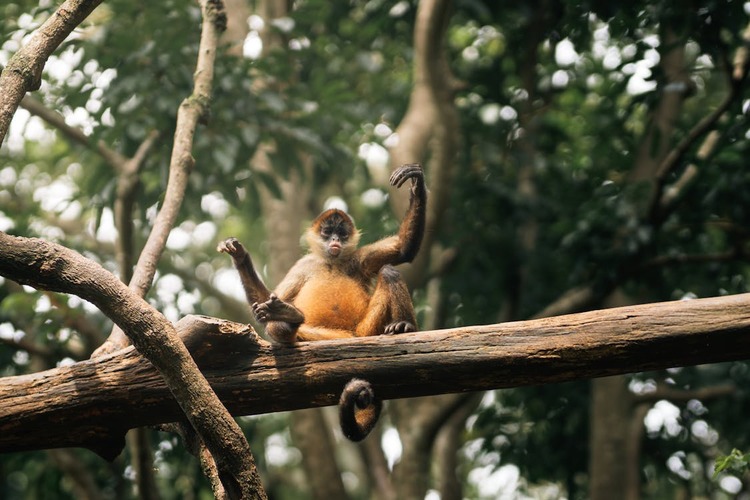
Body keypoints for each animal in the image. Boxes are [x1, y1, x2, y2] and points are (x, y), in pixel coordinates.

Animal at [217, 163, 426, 441]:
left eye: (342, 234)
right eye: (328, 233)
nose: (335, 241)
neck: (331, 261)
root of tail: (350, 336)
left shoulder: (356, 259)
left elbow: (403, 250)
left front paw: (416, 183)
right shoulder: (303, 265)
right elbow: (262, 304)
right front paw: (240, 257)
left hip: (366, 329)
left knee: (389, 271)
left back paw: (404, 326)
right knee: (278, 328)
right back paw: (287, 320)